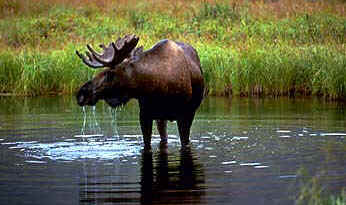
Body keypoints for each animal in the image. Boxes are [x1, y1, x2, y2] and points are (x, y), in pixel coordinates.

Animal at [75, 34, 204, 150]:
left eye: (109, 74)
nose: (81, 94)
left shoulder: (185, 115)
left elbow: (185, 142)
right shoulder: (145, 114)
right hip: (161, 118)